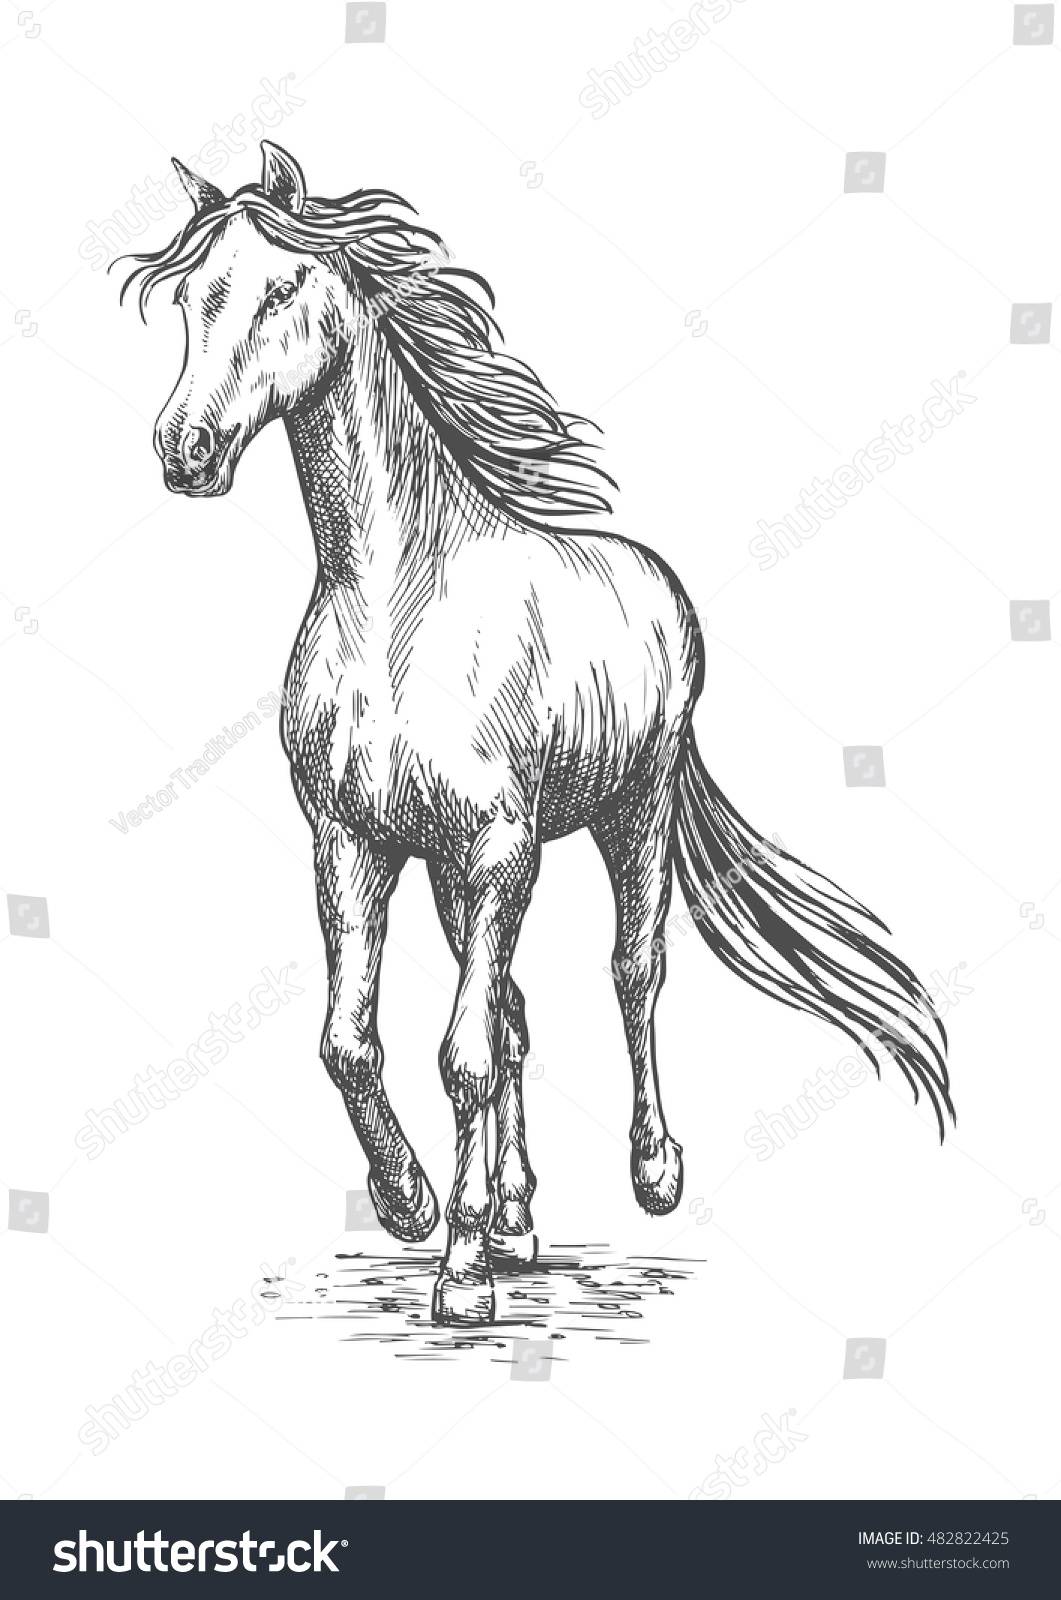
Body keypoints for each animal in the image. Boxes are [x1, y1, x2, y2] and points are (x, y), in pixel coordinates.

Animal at [124, 142, 953, 1326]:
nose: (184, 450)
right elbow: (353, 1041)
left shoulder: (499, 850)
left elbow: (465, 1053)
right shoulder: (356, 844)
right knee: (514, 1009)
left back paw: (647, 1174)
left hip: (629, 812)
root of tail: (658, 583)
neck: (396, 607)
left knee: (631, 971)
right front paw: (419, 1209)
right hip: (449, 871)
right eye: (191, 296)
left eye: (281, 291)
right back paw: (515, 1219)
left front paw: (460, 1273)